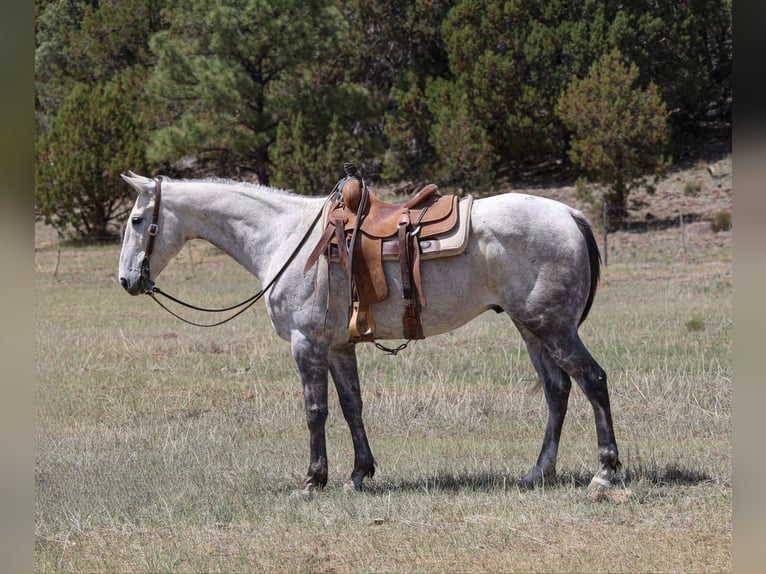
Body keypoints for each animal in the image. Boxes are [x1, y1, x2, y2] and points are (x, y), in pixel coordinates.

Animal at [118, 172, 620, 493]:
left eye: (137, 221)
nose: (126, 281)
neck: (284, 237)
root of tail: (571, 214)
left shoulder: (307, 343)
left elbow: (315, 410)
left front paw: (313, 478)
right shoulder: (339, 346)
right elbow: (351, 406)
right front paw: (359, 473)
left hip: (554, 327)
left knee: (593, 381)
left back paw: (606, 472)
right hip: (531, 328)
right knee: (557, 390)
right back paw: (539, 471)